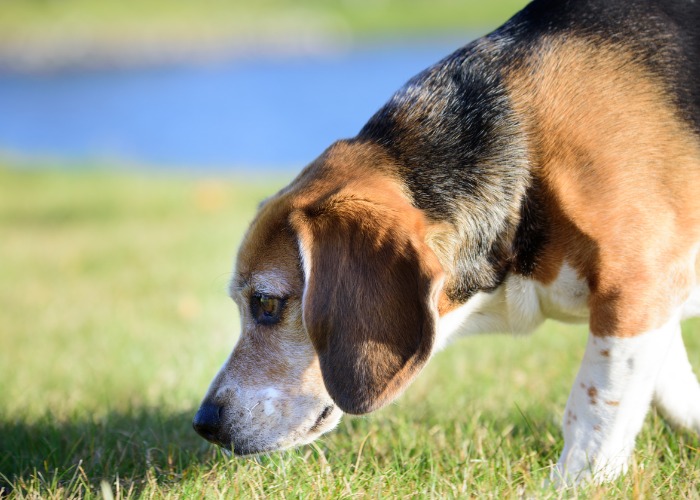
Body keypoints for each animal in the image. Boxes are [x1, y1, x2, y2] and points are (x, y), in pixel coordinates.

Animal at [194, 0, 700, 484]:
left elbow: (595, 409)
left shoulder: (634, 287)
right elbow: (671, 389)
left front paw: (573, 484)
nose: (204, 423)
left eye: (266, 303)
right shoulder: (653, 295)